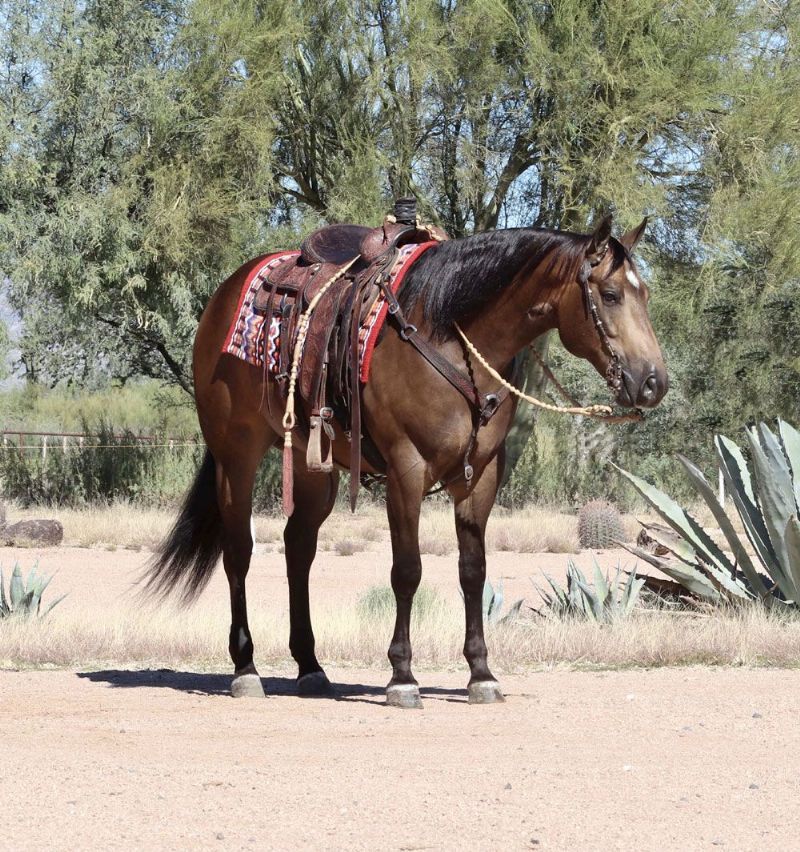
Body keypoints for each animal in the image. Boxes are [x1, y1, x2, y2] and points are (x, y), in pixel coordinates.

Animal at [144, 213, 667, 707]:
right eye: (611, 294)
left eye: (644, 295)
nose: (653, 383)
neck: (452, 335)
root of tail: (224, 295)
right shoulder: (406, 470)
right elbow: (407, 571)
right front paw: (402, 676)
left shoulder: (482, 476)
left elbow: (473, 572)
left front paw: (482, 674)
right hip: (236, 456)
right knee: (239, 552)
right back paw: (246, 669)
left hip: (314, 468)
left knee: (299, 551)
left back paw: (310, 667)